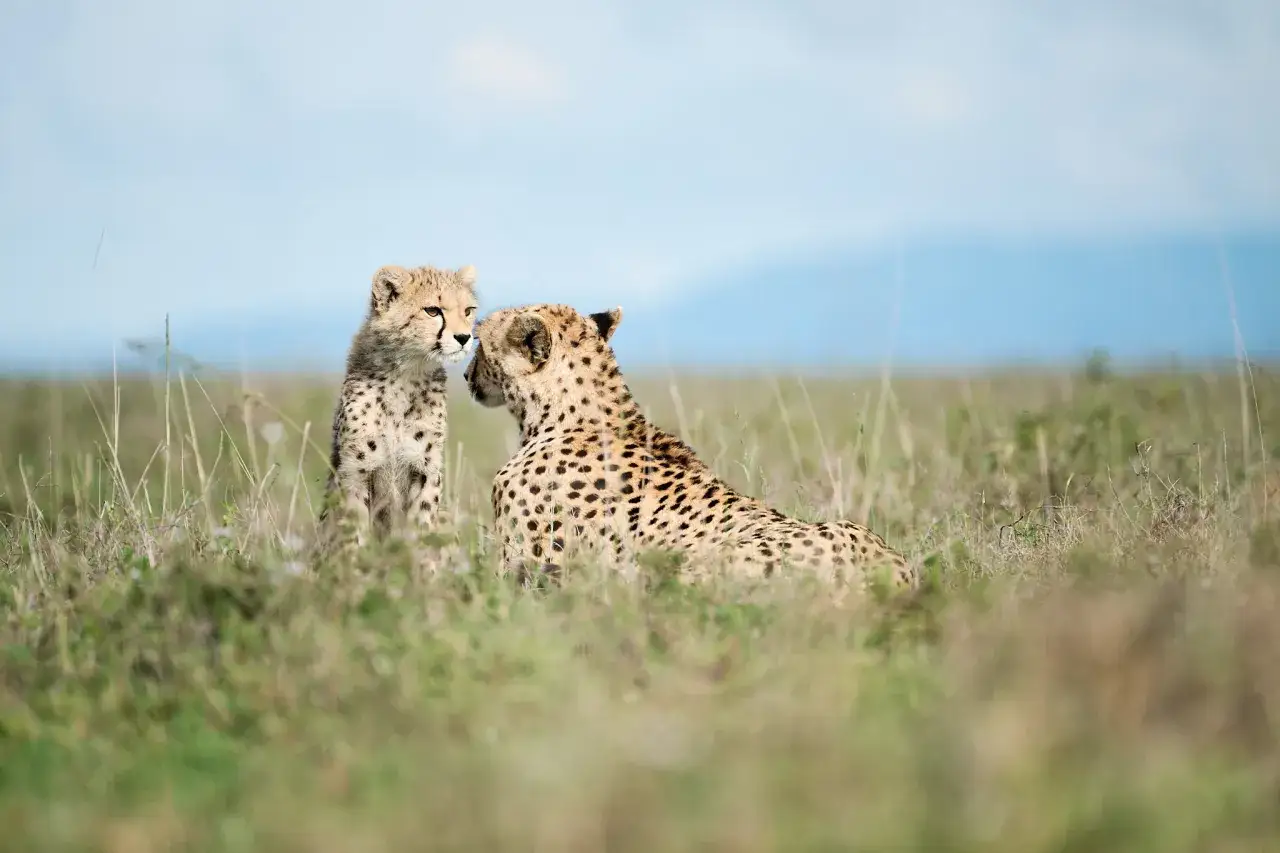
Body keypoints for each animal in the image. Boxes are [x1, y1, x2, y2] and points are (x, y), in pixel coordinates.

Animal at [317, 263, 478, 561]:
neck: (406, 373)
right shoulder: (355, 472)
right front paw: (354, 569)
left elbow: (422, 528)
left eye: (468, 311)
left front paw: (421, 570)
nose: (464, 338)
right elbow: (353, 533)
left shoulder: (426, 469)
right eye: (432, 311)